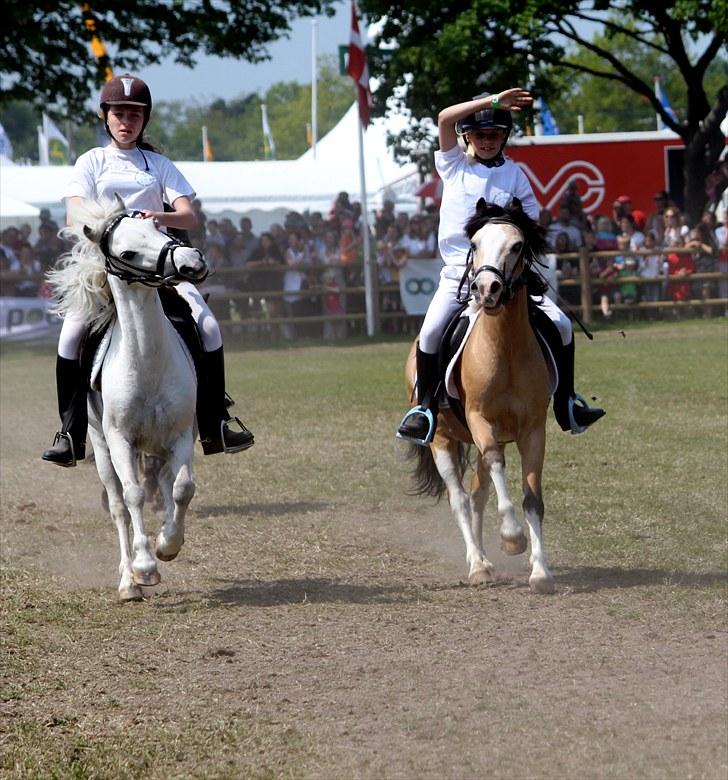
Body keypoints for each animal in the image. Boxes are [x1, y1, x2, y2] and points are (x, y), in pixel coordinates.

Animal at [49, 198, 209, 600]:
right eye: (127, 253)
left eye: (155, 227)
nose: (192, 262)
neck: (146, 360)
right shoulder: (120, 440)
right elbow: (133, 495)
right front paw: (145, 567)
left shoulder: (180, 435)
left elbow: (183, 488)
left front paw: (168, 544)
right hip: (101, 444)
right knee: (119, 505)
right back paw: (128, 581)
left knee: (165, 484)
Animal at [406, 198, 556, 596]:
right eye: (473, 243)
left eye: (517, 245)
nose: (486, 288)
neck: (505, 348)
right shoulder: (480, 422)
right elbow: (496, 470)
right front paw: (512, 537)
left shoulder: (533, 431)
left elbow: (532, 499)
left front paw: (540, 571)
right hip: (442, 439)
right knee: (459, 498)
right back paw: (477, 565)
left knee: (476, 494)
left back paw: (486, 560)